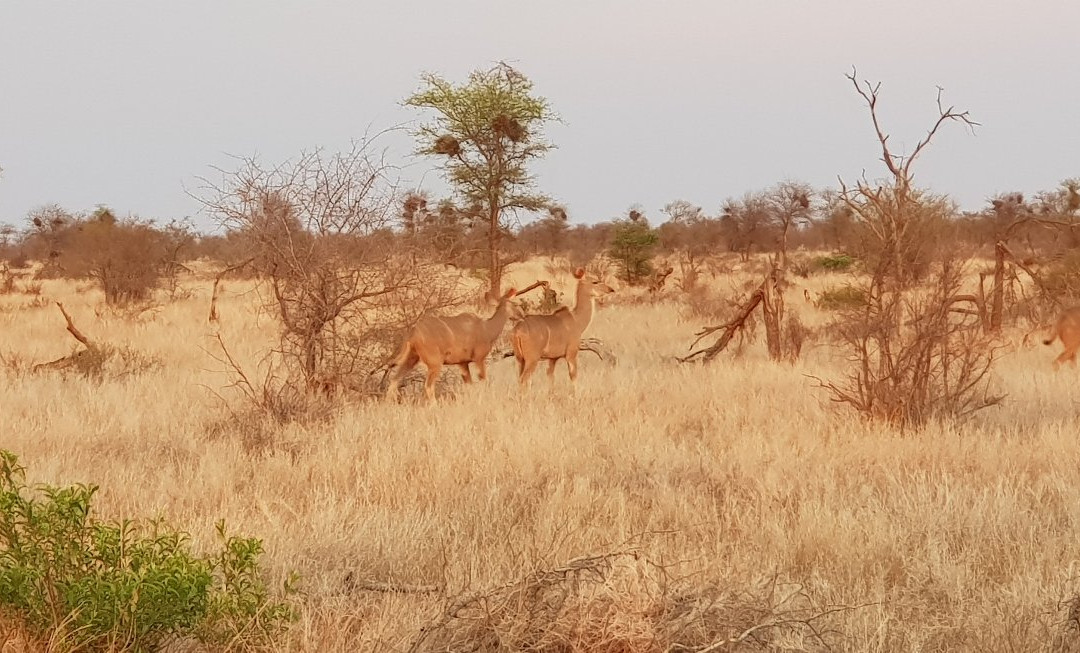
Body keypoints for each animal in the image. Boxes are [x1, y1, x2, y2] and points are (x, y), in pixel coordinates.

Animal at [386, 287, 524, 399]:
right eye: (515, 304)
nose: (521, 315)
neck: (487, 329)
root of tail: (413, 333)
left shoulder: (462, 363)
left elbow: (469, 384)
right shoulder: (479, 358)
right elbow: (484, 380)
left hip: (412, 358)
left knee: (394, 381)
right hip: (435, 363)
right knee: (428, 386)